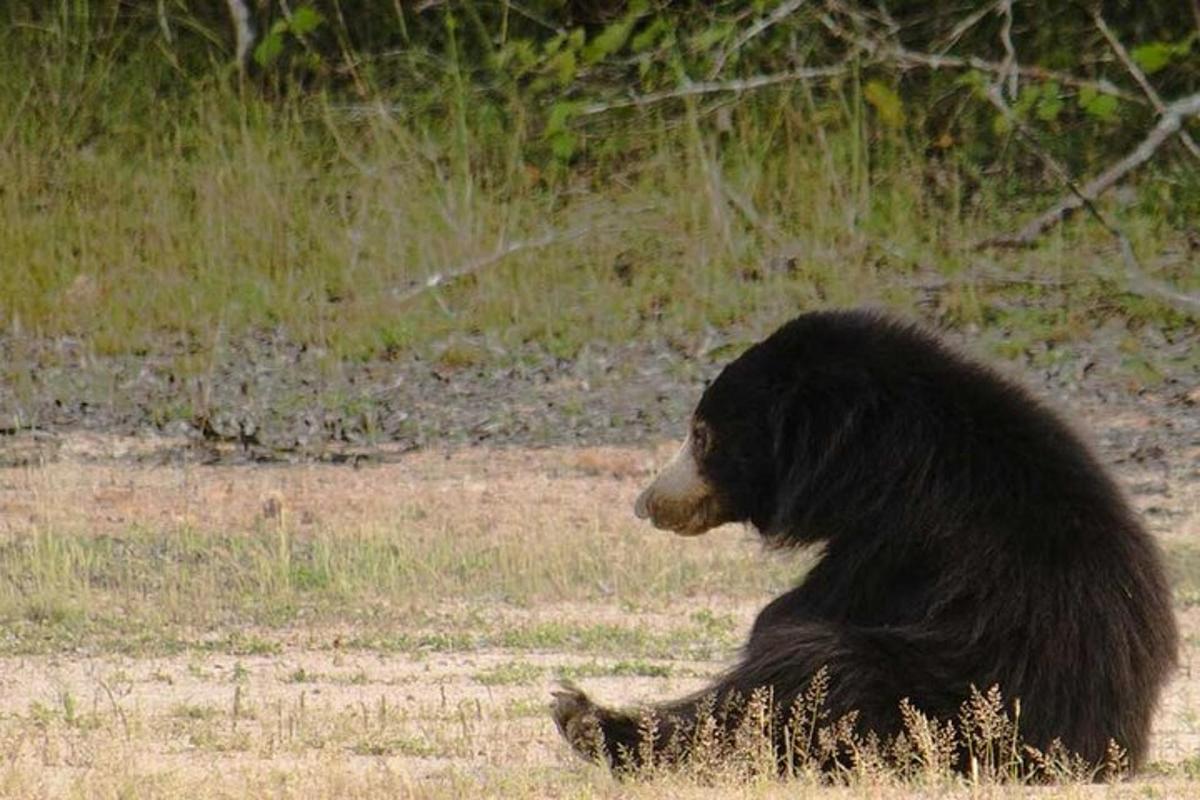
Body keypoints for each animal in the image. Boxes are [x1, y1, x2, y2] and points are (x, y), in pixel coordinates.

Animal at [556, 309, 1176, 777]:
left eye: (702, 435)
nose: (647, 502)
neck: (873, 458)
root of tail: (1106, 743)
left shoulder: (904, 535)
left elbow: (789, 617)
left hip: (938, 698)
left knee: (813, 673)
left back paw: (586, 720)